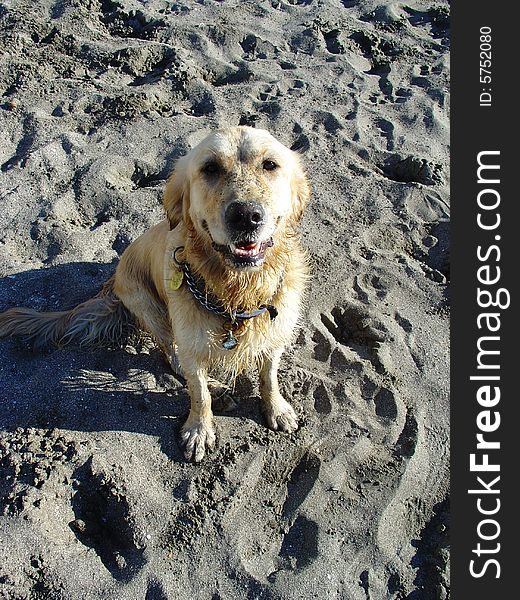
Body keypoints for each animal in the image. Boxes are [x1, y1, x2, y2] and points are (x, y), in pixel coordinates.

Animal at [0, 126, 308, 462]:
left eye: (270, 165)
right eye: (210, 168)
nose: (246, 215)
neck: (239, 292)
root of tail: (112, 282)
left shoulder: (276, 332)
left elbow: (269, 375)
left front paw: (276, 408)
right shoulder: (190, 343)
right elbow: (197, 391)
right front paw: (199, 430)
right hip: (151, 308)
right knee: (172, 356)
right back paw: (217, 389)